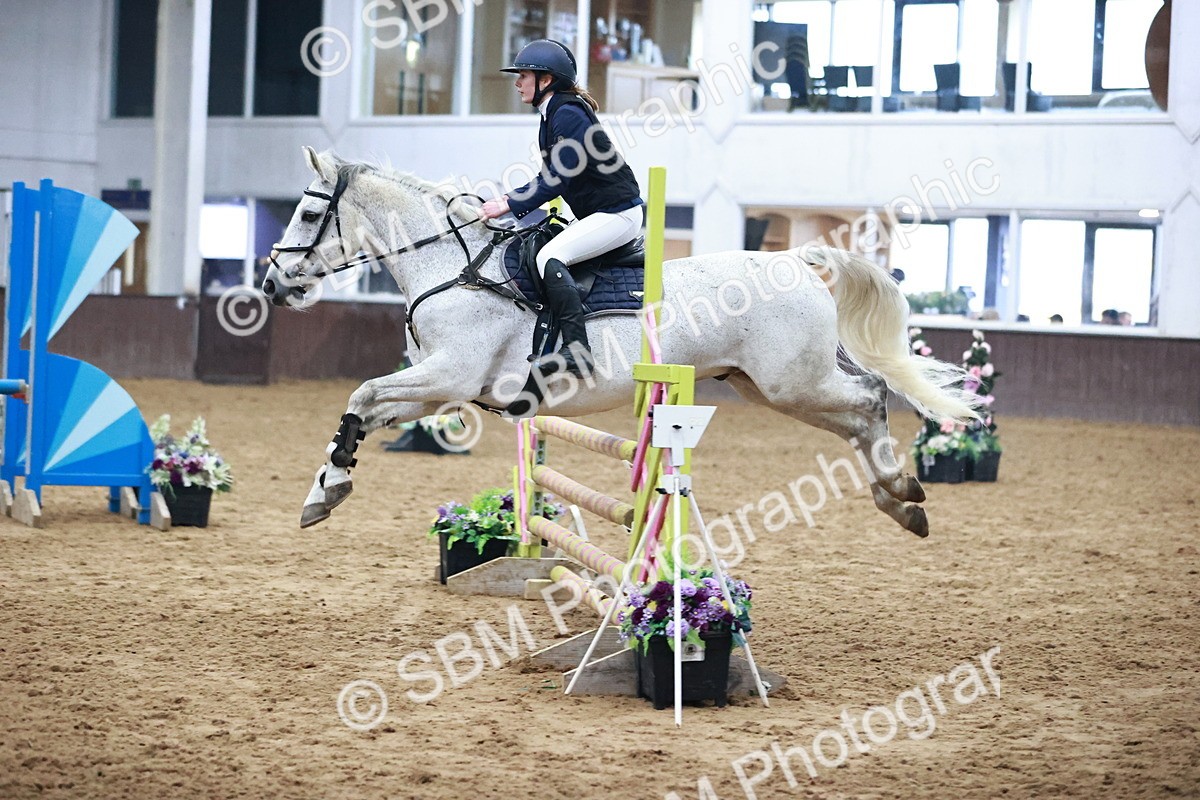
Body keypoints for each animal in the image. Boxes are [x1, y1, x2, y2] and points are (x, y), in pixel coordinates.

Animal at [262, 147, 979, 536]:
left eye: (308, 212)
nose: (271, 284)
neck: (453, 266)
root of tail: (795, 260)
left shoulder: (451, 376)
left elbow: (362, 393)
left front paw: (324, 491)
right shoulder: (438, 389)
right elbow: (364, 409)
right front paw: (324, 489)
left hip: (792, 381)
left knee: (869, 397)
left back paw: (903, 491)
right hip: (770, 385)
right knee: (859, 413)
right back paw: (901, 502)